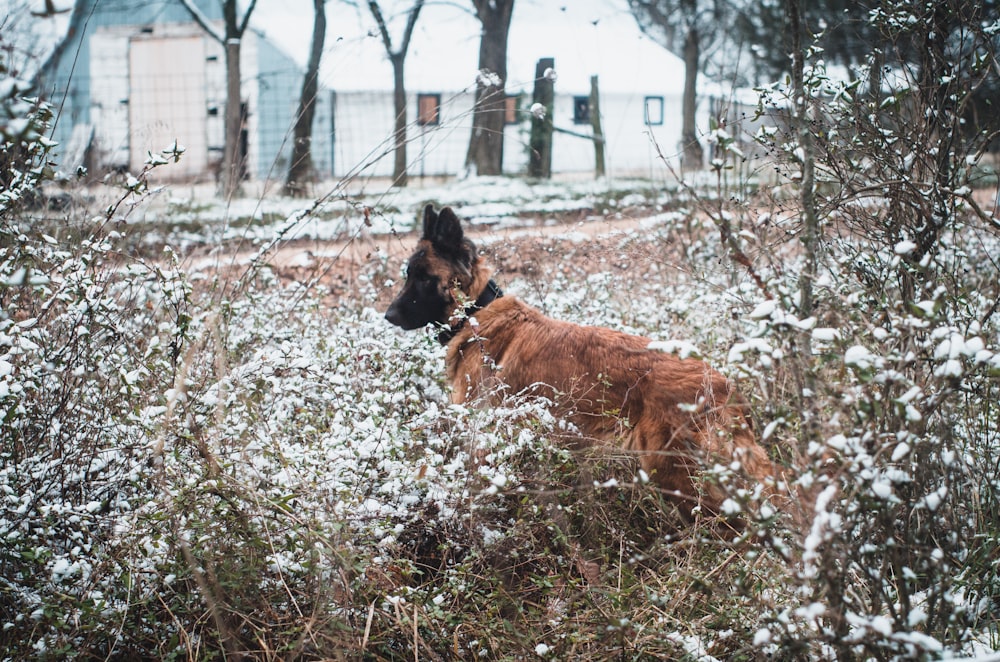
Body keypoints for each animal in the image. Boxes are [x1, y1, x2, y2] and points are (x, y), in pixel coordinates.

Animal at [386, 206, 776, 520]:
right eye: (407, 274)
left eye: (424, 278)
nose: (388, 316)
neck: (475, 315)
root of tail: (724, 385)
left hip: (673, 473)